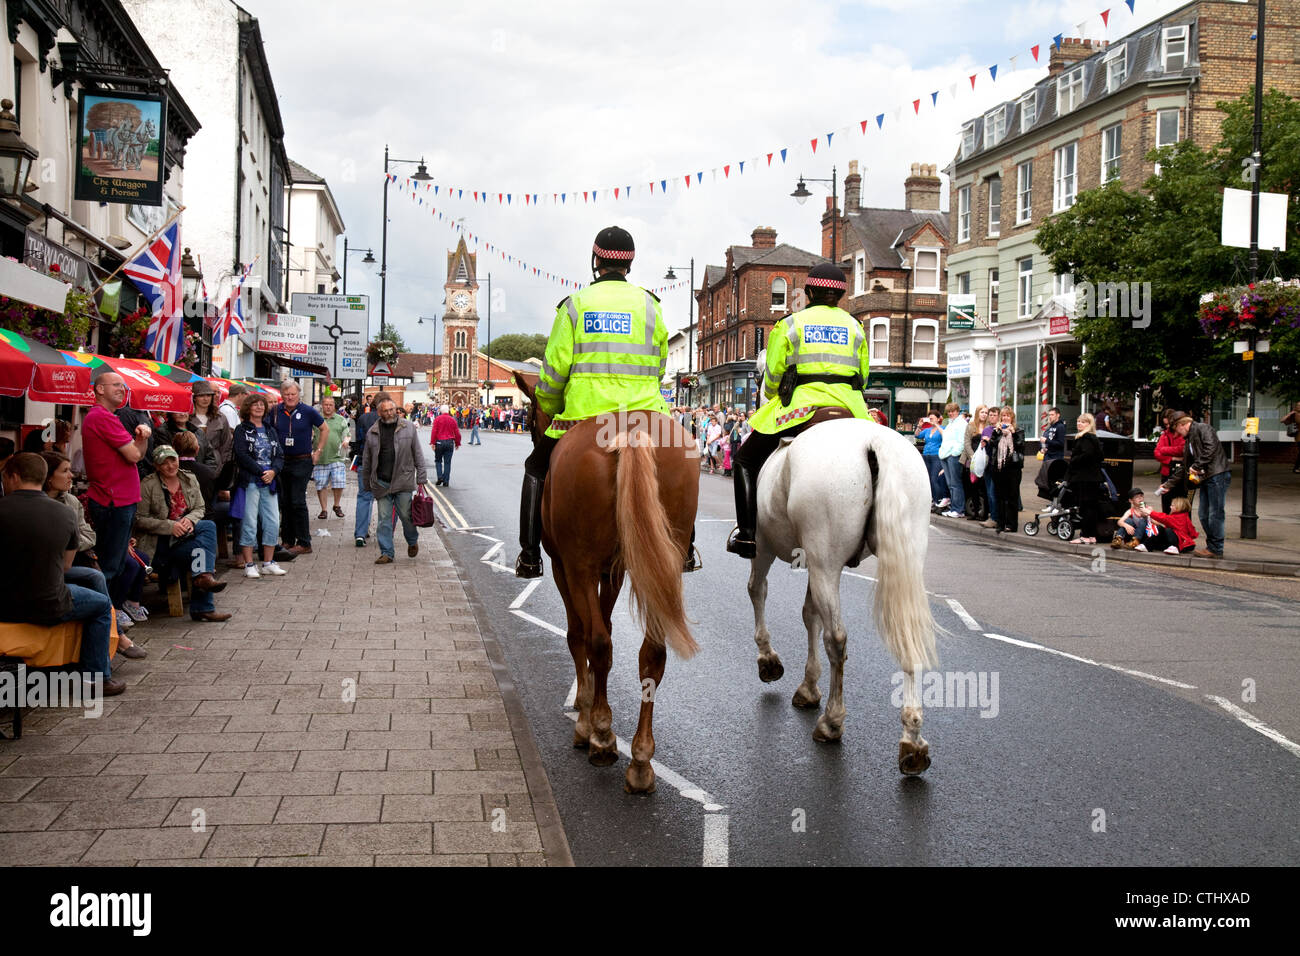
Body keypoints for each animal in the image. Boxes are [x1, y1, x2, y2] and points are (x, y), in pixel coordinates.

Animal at [514, 374, 702, 790]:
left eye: (531, 415)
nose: (533, 433)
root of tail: (630, 431)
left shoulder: (566, 566)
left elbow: (580, 635)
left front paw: (587, 716)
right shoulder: (612, 570)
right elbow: (606, 626)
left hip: (579, 565)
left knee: (597, 641)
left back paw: (599, 735)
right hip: (660, 565)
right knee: (652, 654)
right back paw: (641, 761)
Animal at [748, 358, 941, 770]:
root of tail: (874, 442)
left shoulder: (766, 546)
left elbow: (759, 591)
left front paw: (769, 660)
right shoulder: (812, 558)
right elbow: (809, 614)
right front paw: (808, 686)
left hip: (824, 559)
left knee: (836, 638)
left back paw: (832, 723)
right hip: (899, 558)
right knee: (908, 635)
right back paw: (913, 740)